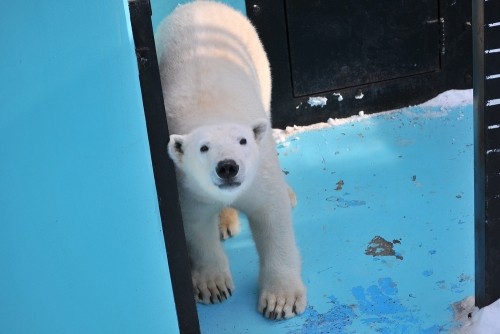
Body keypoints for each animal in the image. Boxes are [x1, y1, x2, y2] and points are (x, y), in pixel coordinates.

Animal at [155, 0, 304, 318]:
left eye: (242, 141)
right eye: (203, 148)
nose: (228, 168)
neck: (211, 114)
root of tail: (201, 3)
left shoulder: (259, 174)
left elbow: (272, 217)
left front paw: (281, 301)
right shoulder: (185, 186)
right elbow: (196, 227)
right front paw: (213, 286)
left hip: (259, 61)